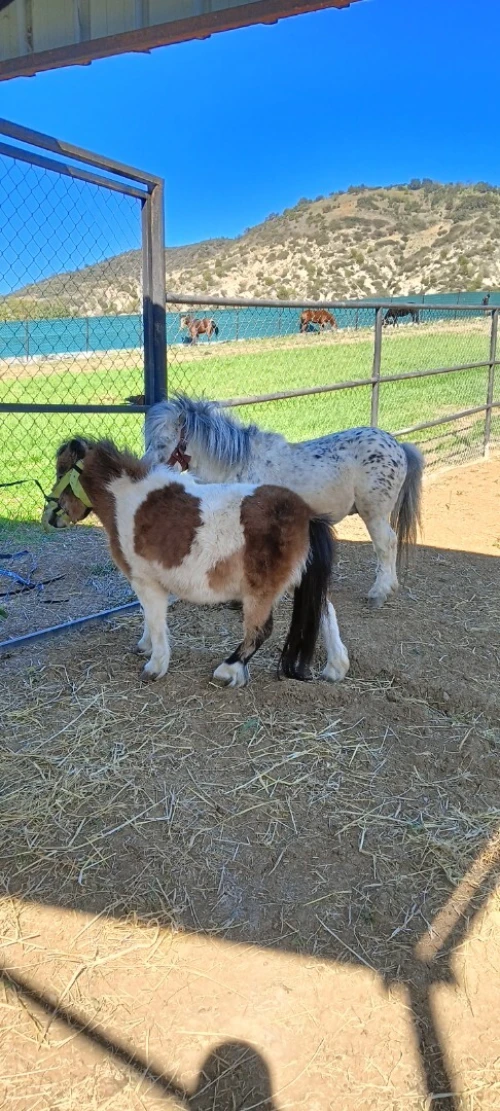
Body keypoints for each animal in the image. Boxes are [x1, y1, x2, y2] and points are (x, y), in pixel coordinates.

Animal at [43, 437, 350, 687]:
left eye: (61, 471)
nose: (50, 517)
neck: (127, 500)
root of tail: (306, 515)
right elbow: (149, 617)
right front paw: (145, 646)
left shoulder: (145, 581)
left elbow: (155, 620)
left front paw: (155, 666)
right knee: (325, 612)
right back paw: (336, 667)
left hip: (260, 591)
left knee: (260, 630)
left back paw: (228, 670)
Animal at [144, 396, 424, 609]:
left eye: (161, 441)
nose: (147, 470)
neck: (239, 465)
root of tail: (397, 445)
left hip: (374, 513)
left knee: (386, 545)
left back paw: (380, 592)